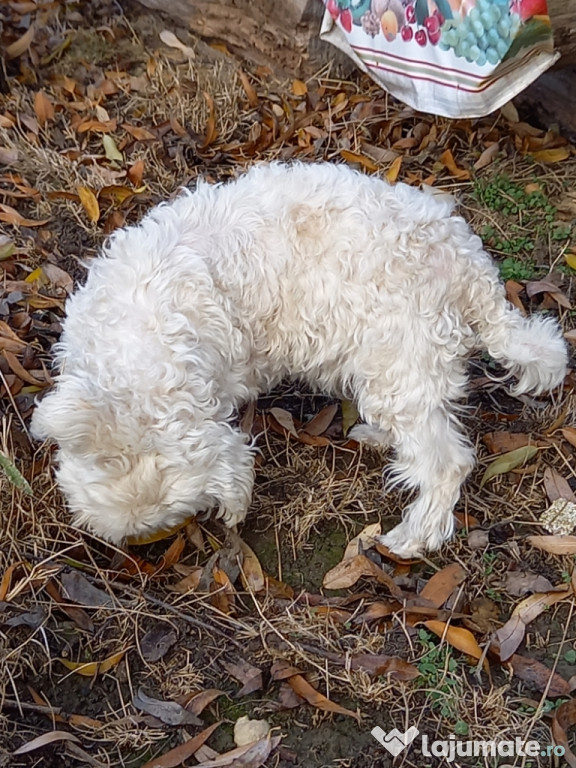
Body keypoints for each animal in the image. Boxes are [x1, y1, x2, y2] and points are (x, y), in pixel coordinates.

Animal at [33, 164, 568, 560]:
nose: (144, 549)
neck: (141, 345)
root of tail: (467, 266)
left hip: (397, 355)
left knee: (446, 462)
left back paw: (414, 535)